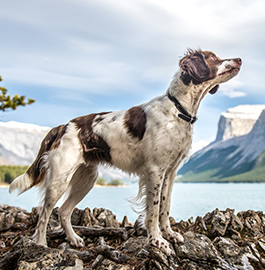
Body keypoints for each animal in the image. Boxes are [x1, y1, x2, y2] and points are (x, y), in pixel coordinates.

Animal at [9, 49, 241, 254]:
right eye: (213, 57)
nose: (239, 59)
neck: (178, 110)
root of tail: (63, 126)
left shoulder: (170, 173)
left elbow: (165, 207)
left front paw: (169, 234)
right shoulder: (155, 171)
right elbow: (153, 210)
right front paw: (157, 241)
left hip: (86, 178)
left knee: (64, 211)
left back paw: (74, 239)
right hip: (59, 179)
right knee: (45, 214)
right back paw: (41, 244)